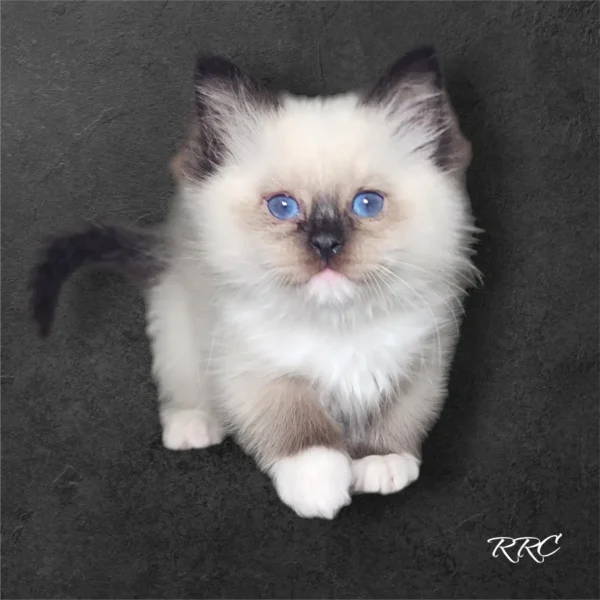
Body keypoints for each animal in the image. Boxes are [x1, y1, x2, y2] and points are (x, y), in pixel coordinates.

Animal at [31, 47, 478, 516]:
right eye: (282, 207)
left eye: (367, 204)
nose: (325, 243)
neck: (338, 325)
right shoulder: (255, 369)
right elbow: (297, 426)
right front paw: (318, 486)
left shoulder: (421, 363)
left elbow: (398, 416)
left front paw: (380, 462)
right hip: (179, 329)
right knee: (183, 384)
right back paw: (193, 427)